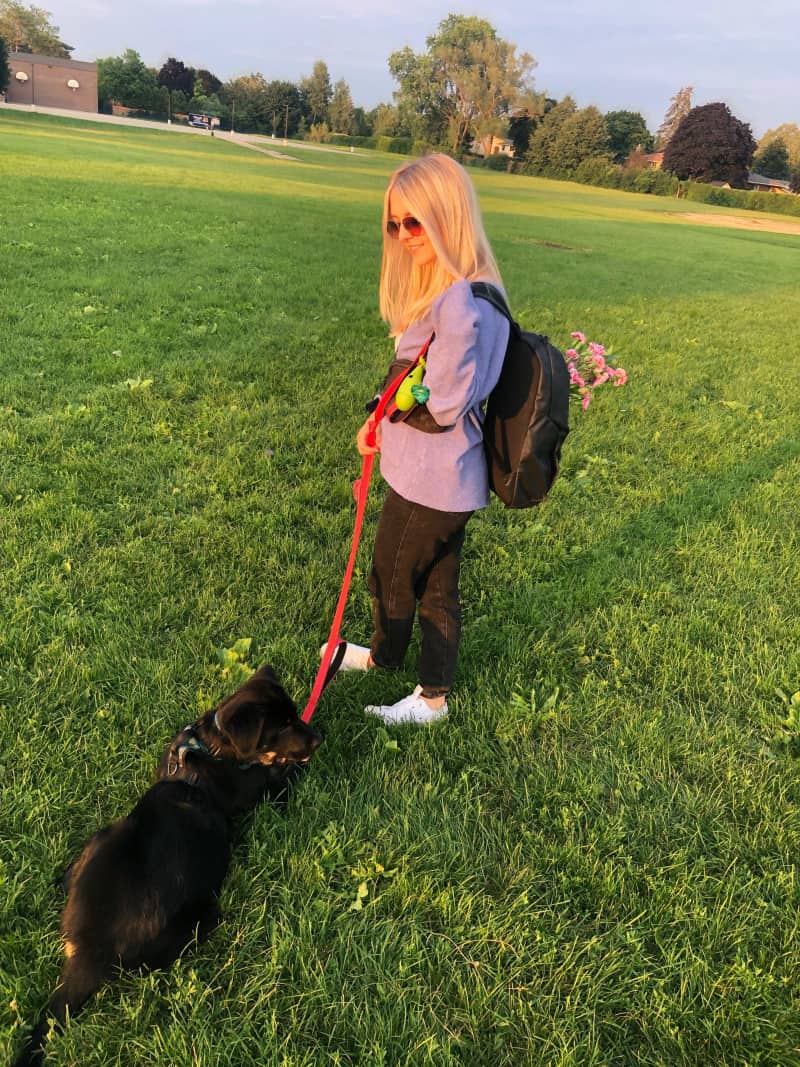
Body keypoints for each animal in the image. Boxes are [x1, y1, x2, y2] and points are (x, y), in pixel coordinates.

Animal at [13, 661, 322, 1062]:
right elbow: (279, 776)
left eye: (294, 715)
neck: (213, 749)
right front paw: (295, 767)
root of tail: (90, 955)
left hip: (105, 837)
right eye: (281, 726)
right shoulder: (257, 790)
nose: (318, 738)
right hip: (203, 917)